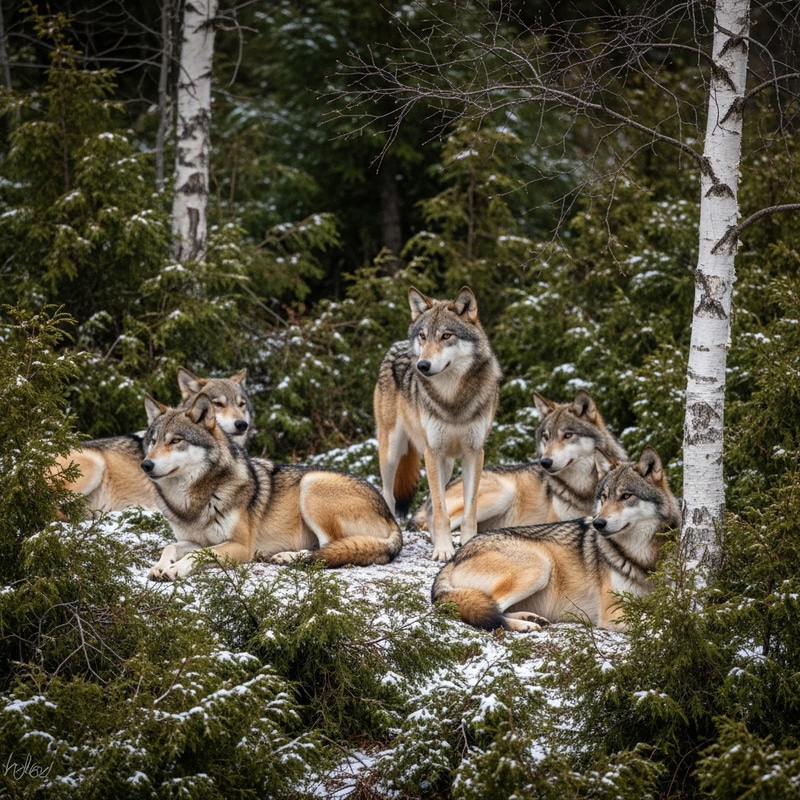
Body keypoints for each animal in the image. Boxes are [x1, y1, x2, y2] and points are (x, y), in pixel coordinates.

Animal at [141, 393, 402, 580]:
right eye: (153, 441)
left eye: (176, 441)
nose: (146, 464)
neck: (193, 501)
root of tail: (391, 517)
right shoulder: (195, 540)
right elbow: (170, 546)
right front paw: (159, 567)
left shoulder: (240, 546)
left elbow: (198, 554)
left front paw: (175, 569)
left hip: (311, 484)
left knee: (328, 550)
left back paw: (287, 557)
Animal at [374, 286, 502, 562]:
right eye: (423, 336)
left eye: (446, 336)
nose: (422, 365)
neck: (452, 399)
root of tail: (397, 344)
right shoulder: (432, 452)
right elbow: (443, 512)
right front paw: (443, 551)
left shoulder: (474, 453)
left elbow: (467, 510)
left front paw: (462, 544)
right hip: (391, 453)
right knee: (389, 496)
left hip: (447, 464)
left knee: (432, 506)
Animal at [431, 446, 680, 631]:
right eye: (604, 497)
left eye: (626, 496)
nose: (598, 523)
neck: (642, 559)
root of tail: (454, 558)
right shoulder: (613, 613)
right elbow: (658, 620)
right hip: (539, 566)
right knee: (488, 611)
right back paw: (523, 625)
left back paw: (531, 618)